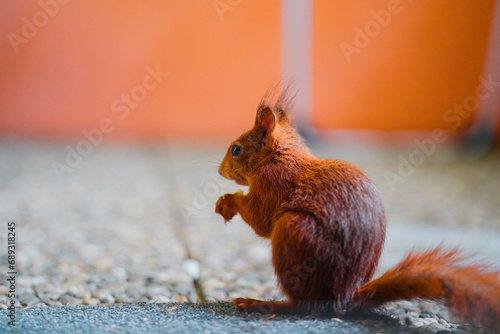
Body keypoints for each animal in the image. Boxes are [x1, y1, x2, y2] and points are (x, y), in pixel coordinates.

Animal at [216, 85, 500, 330]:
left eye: (236, 150)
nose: (220, 171)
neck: (277, 156)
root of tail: (343, 298)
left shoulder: (273, 185)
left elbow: (261, 220)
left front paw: (227, 202)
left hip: (294, 232)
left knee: (304, 306)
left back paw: (262, 304)